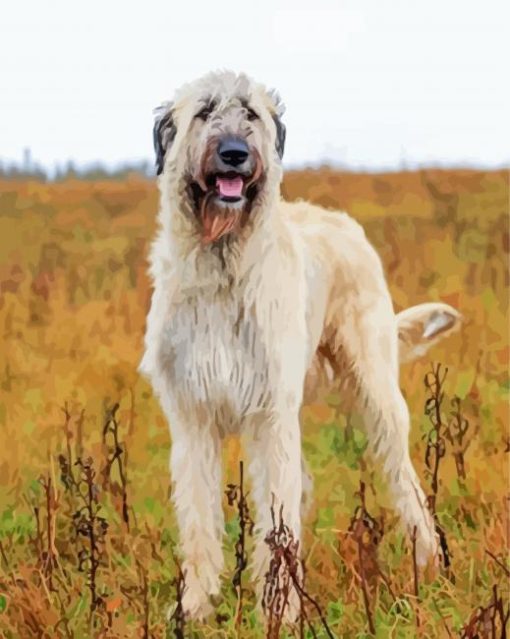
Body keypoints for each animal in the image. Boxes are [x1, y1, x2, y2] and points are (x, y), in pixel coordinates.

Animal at [140, 70, 462, 620]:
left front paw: (280, 609)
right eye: (204, 111)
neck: (222, 265)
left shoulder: (271, 410)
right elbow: (200, 518)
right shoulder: (193, 417)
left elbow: (277, 516)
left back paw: (428, 563)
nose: (234, 154)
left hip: (375, 385)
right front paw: (195, 606)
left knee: (403, 477)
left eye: (250, 113)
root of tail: (345, 223)